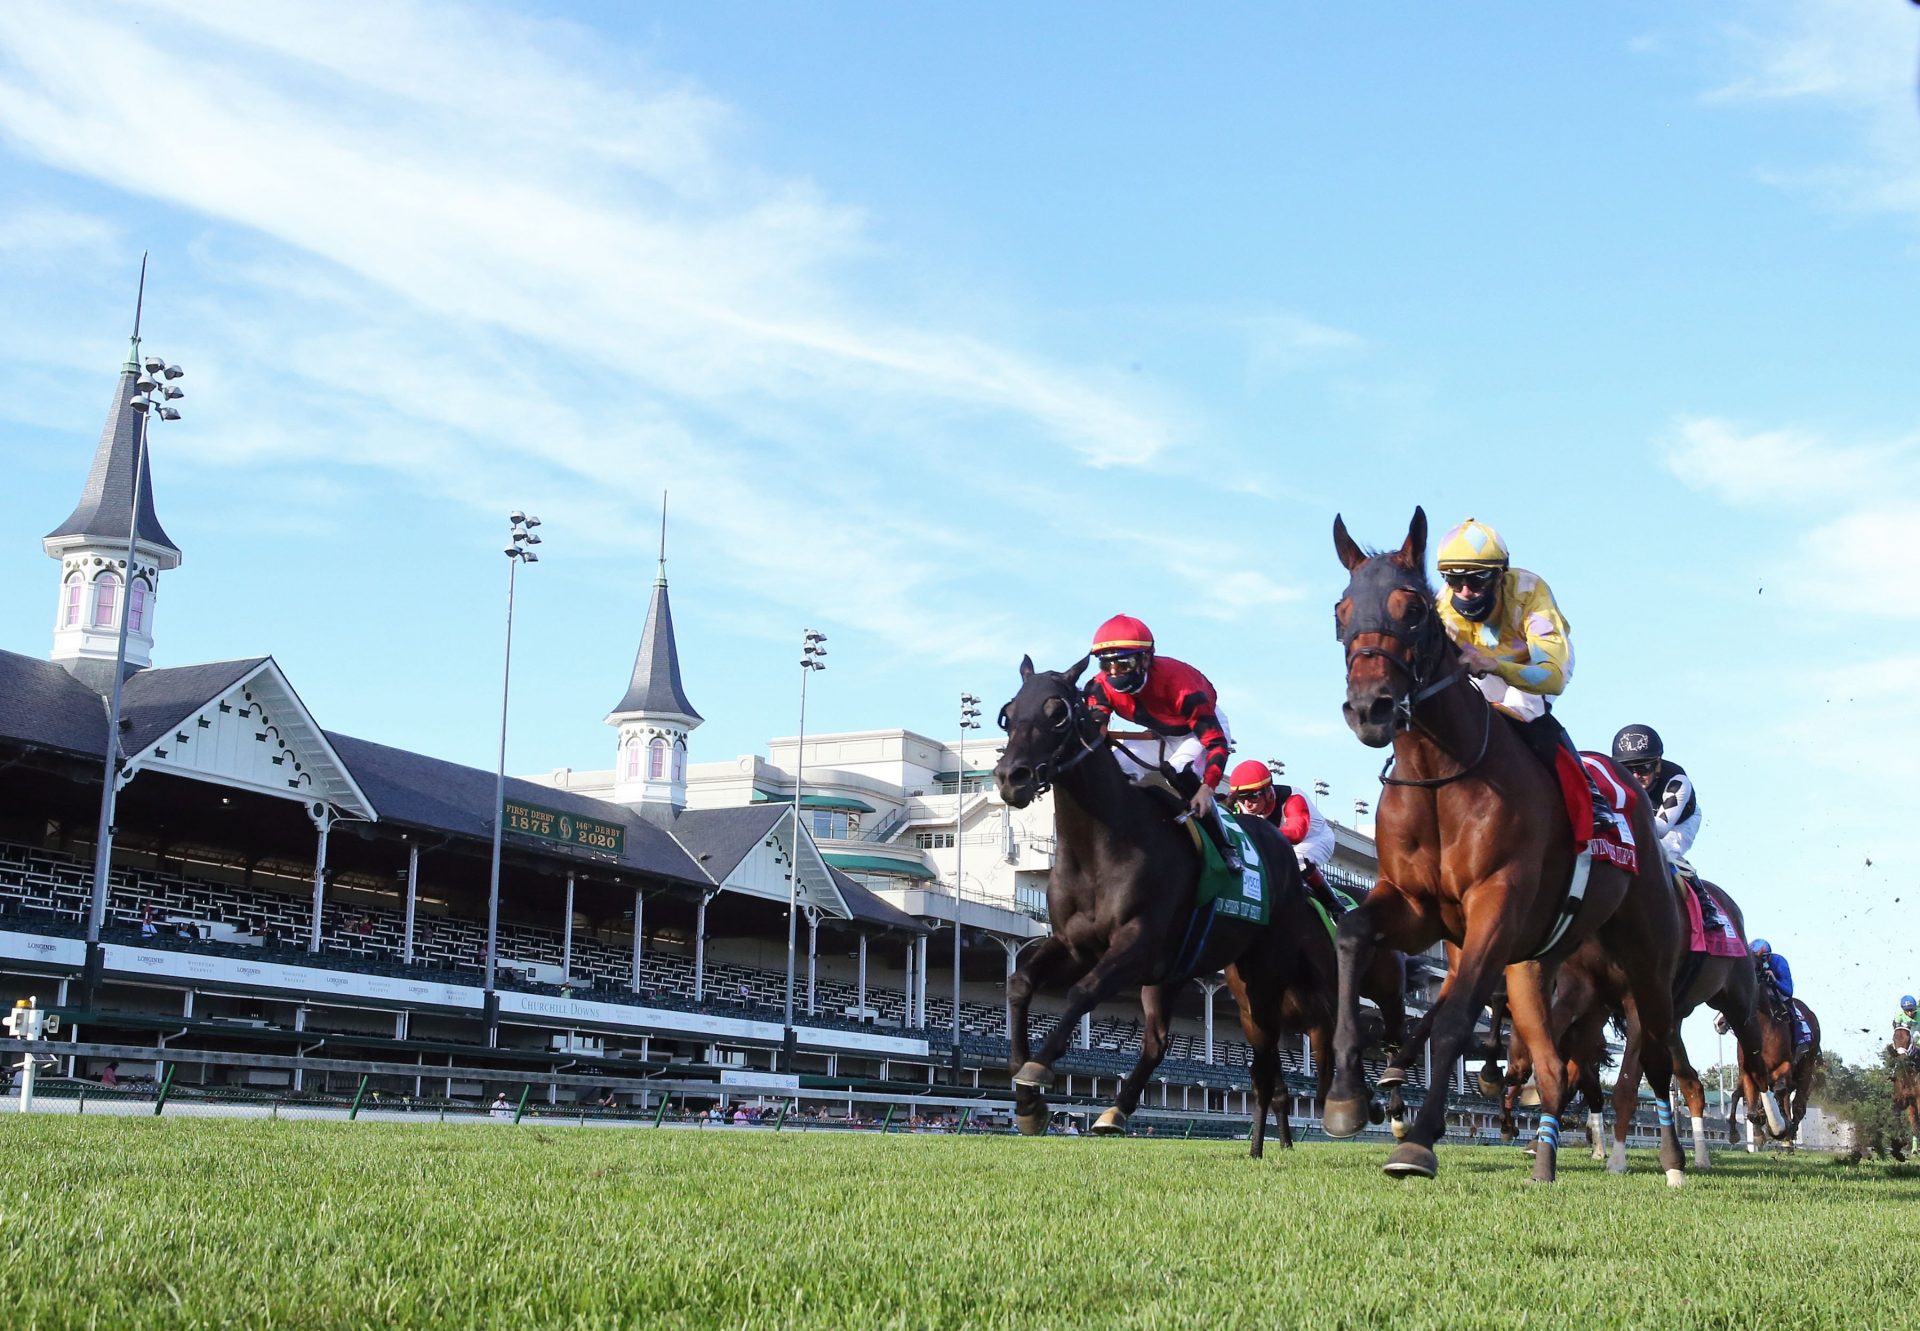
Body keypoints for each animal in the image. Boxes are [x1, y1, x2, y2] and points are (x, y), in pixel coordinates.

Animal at [990, 653, 1413, 1152]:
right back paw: (1118, 1110)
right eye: (1009, 714)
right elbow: (1020, 984)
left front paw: (1037, 1070)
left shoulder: (1137, 943)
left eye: (1057, 712)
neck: (1102, 842)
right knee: (1162, 1041)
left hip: (1287, 978)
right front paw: (1024, 1093)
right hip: (1188, 980)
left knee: (1368, 1036)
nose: (1011, 777)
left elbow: (1083, 991)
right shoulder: (1075, 943)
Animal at [1328, 507, 1689, 1183]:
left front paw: (1418, 1141)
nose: (1370, 709)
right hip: (1539, 964)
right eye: (1341, 611)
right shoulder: (1417, 908)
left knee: (1656, 1051)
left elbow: (1453, 1017)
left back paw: (1674, 1158)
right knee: (1550, 1066)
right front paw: (1347, 1096)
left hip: (1647, 959)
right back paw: (1543, 1160)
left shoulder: (1495, 903)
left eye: (1413, 608)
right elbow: (1352, 934)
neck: (1443, 776)